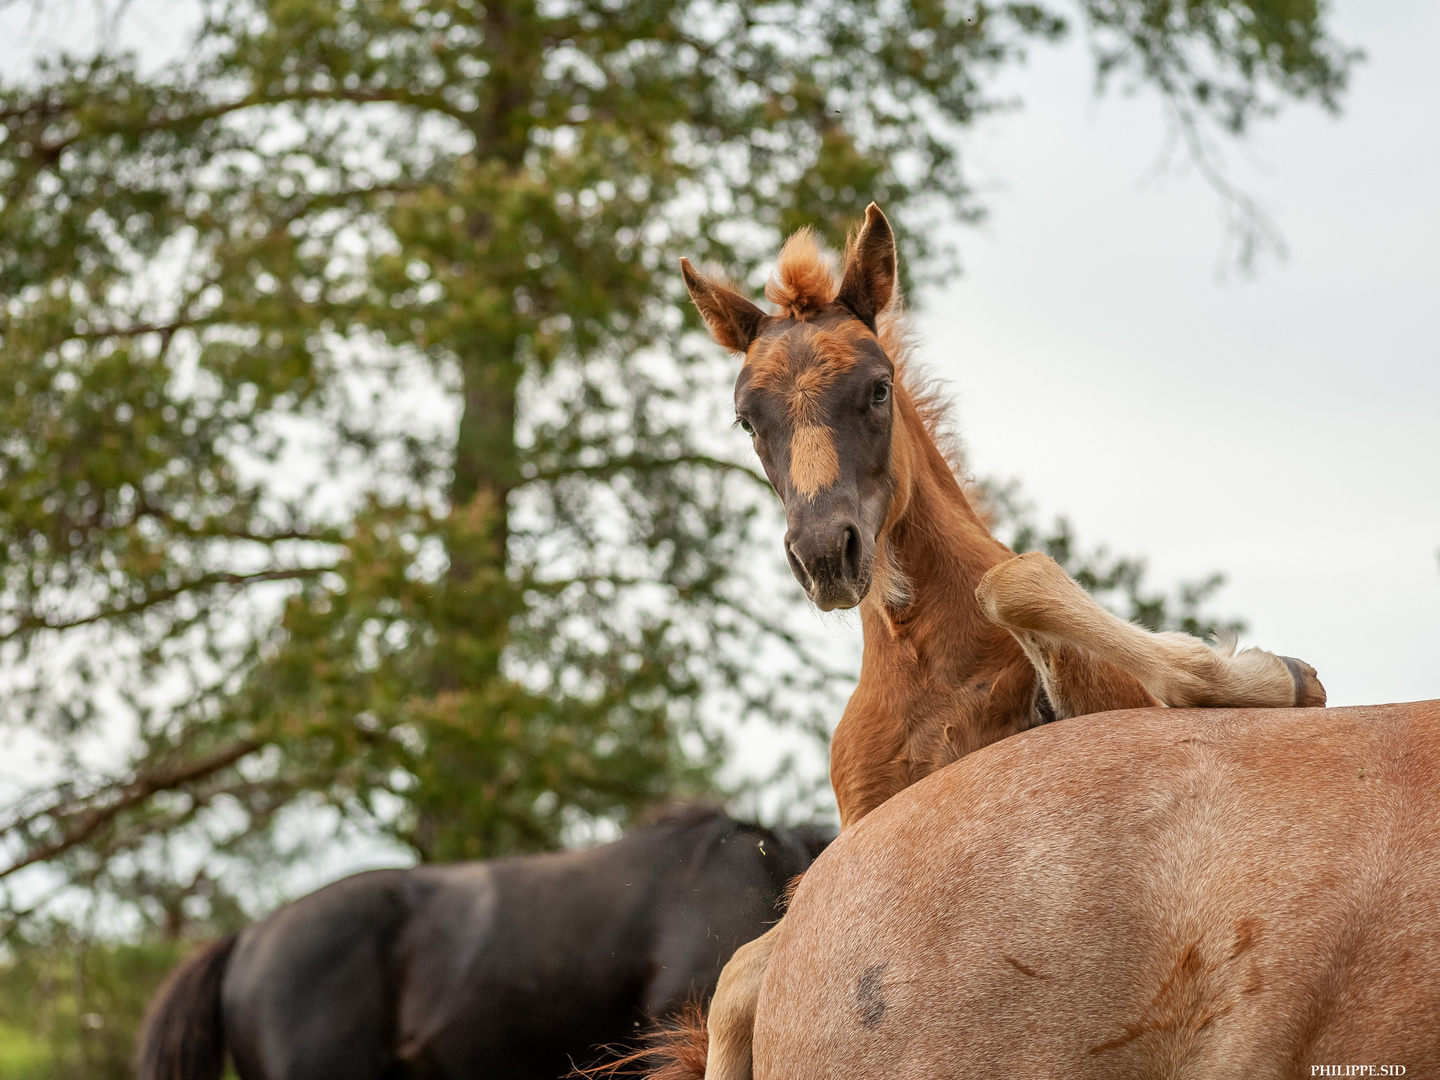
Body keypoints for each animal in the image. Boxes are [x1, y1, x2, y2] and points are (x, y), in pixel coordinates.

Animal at [656, 208, 1405, 1080]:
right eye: (749, 418)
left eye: (877, 388)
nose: (824, 554)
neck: (928, 673)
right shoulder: (858, 843)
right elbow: (738, 977)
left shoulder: (1081, 695)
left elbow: (1018, 578)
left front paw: (1274, 675)